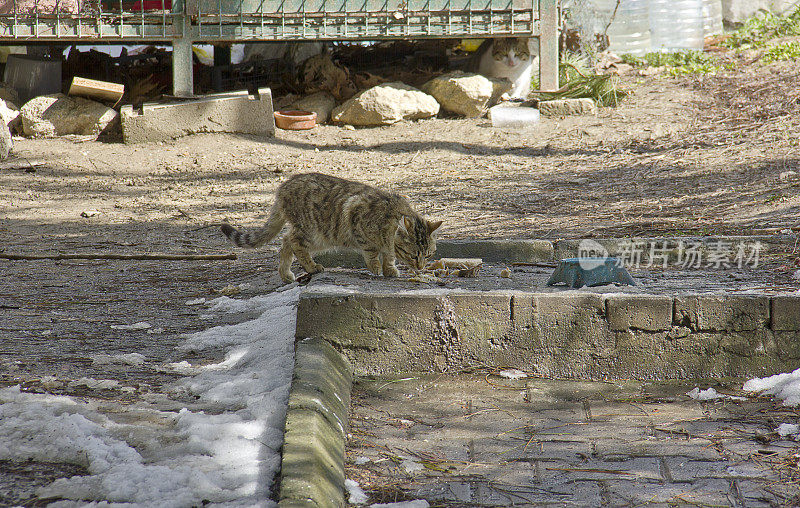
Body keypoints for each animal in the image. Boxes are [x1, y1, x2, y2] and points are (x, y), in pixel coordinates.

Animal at [222, 171, 440, 282]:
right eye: (414, 255)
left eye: (428, 255)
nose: (421, 267)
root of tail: (283, 187)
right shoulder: (358, 220)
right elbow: (371, 252)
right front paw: (377, 267)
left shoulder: (388, 246)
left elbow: (389, 256)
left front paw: (390, 269)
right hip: (313, 231)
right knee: (293, 242)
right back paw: (311, 267)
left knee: (285, 243)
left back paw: (286, 274)